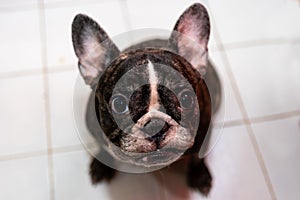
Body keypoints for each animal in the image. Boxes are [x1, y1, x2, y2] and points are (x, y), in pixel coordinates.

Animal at [70, 2, 220, 196]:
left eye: (186, 99)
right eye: (119, 104)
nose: (156, 125)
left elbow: (197, 157)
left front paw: (199, 175)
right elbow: (101, 148)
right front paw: (101, 165)